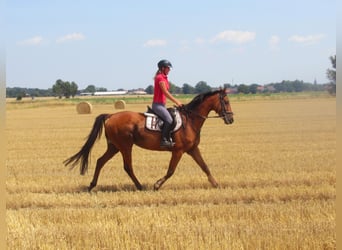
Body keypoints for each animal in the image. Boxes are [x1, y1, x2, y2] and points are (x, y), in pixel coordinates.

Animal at [63, 88, 234, 191]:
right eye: (226, 101)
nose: (231, 119)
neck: (190, 120)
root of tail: (111, 116)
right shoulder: (178, 151)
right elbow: (171, 170)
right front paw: (157, 185)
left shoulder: (192, 149)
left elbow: (204, 166)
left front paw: (216, 184)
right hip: (125, 146)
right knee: (127, 167)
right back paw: (139, 186)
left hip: (114, 146)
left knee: (100, 161)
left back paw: (92, 185)